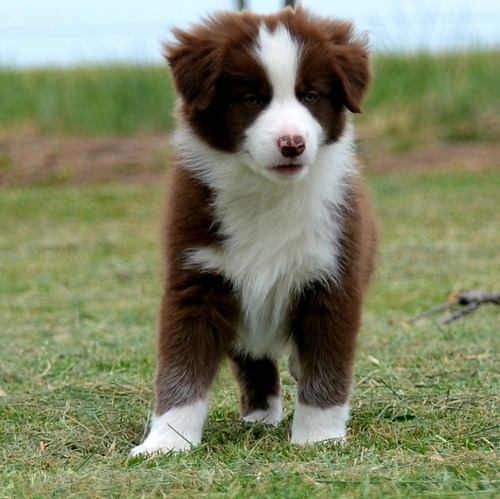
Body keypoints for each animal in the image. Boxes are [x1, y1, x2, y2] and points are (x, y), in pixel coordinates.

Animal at [131, 4, 376, 458]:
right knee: (254, 358)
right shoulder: (197, 276)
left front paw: (317, 436)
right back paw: (259, 416)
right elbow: (181, 365)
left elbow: (327, 362)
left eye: (310, 96)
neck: (268, 192)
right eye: (251, 99)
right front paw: (165, 441)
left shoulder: (333, 276)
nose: (292, 143)